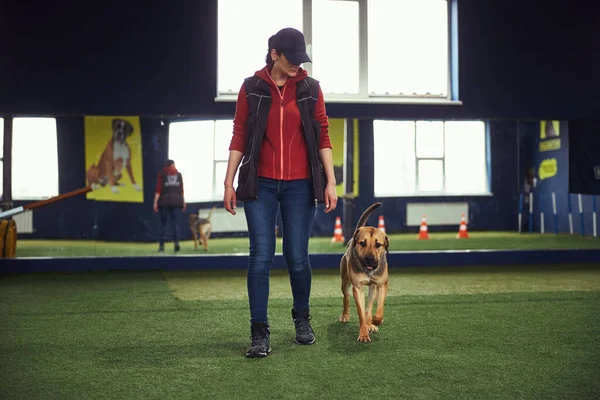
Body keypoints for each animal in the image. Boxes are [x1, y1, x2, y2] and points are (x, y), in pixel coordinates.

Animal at [338, 202, 390, 342]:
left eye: (378, 245)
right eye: (362, 243)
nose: (369, 259)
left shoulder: (381, 285)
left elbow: (377, 307)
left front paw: (375, 321)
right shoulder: (357, 288)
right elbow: (361, 312)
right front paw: (364, 333)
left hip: (373, 288)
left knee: (370, 305)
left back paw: (370, 323)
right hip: (345, 281)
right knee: (346, 296)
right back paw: (345, 315)